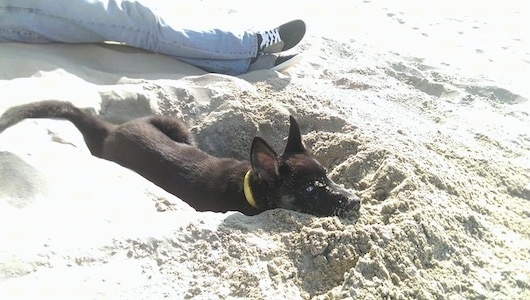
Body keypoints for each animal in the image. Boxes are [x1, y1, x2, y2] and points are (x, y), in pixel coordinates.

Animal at [0, 101, 358, 216]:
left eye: (327, 176)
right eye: (310, 190)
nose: (355, 202)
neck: (249, 189)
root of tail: (112, 129)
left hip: (177, 126)